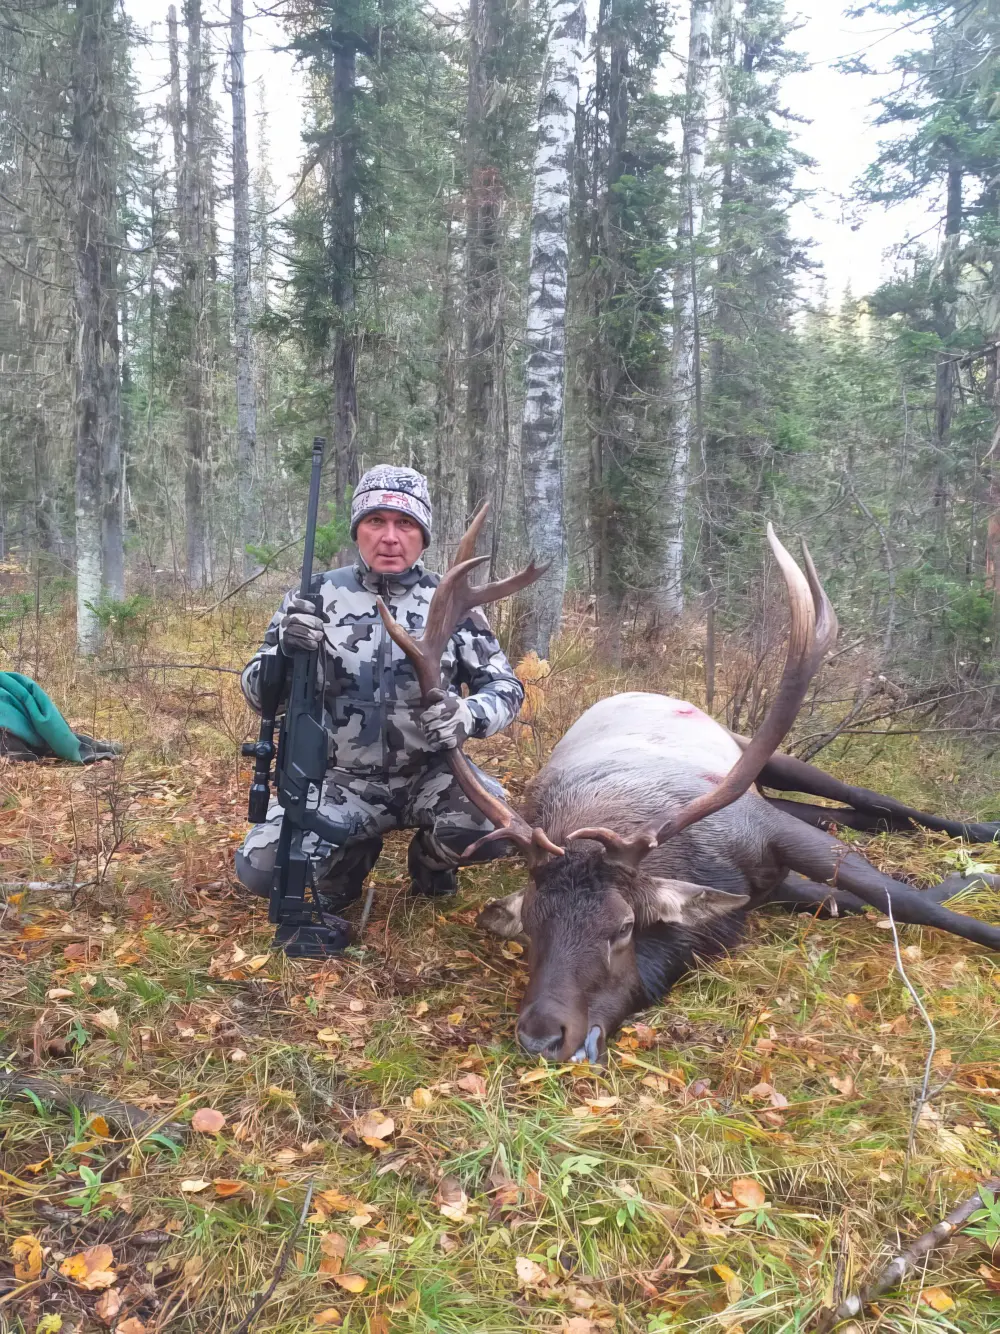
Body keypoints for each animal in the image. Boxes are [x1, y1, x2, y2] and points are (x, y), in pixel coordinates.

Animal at [376, 518, 1000, 1064]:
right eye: (530, 924)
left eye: (622, 927)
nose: (541, 1035)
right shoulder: (760, 887)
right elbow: (853, 901)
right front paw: (964, 880)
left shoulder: (767, 832)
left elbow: (906, 900)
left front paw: (977, 891)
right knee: (849, 814)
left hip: (759, 754)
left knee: (871, 800)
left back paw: (982, 831)